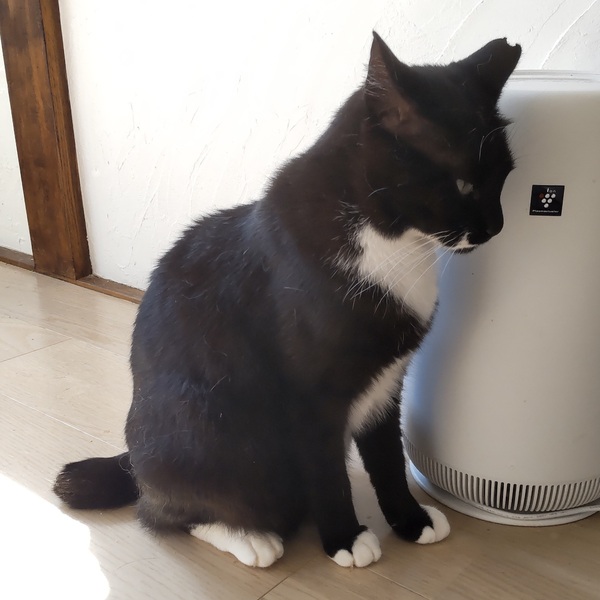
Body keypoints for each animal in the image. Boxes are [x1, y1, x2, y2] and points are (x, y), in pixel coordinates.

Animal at [54, 32, 521, 569]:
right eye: (464, 182)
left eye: (504, 177)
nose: (496, 227)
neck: (389, 241)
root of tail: (131, 459)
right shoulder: (310, 395)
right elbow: (327, 472)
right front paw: (344, 538)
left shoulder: (387, 382)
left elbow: (386, 458)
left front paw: (410, 520)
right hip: (210, 434)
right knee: (169, 511)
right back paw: (249, 537)